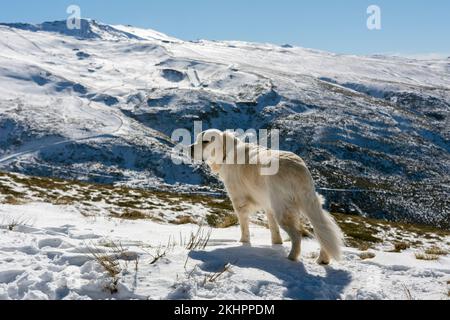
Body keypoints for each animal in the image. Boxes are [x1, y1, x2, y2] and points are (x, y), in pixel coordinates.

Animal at [191, 129, 344, 264]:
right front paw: (276, 244)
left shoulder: (239, 200)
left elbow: (244, 225)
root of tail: (297, 168)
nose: (190, 148)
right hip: (309, 204)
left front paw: (243, 242)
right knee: (322, 230)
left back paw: (292, 257)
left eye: (205, 141)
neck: (227, 153)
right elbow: (273, 229)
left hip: (283, 209)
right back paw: (323, 258)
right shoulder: (268, 206)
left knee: (297, 234)